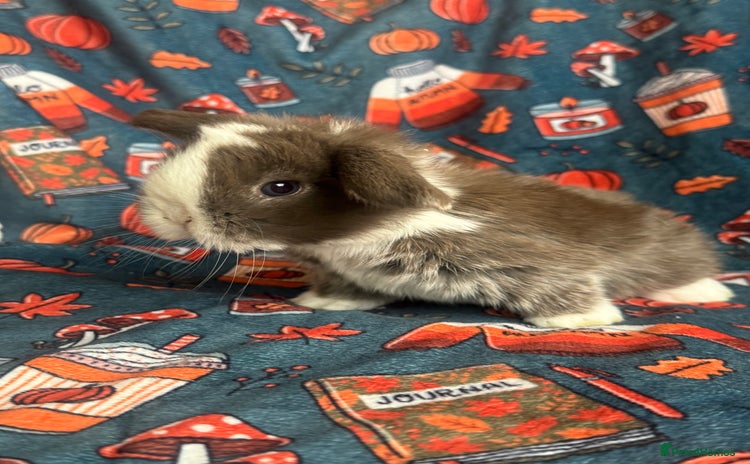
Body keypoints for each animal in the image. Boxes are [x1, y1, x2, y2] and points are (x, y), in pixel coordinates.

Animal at [131, 109, 733, 328]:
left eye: (280, 187)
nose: (172, 214)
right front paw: (324, 304)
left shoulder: (529, 260)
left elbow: (565, 285)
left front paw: (582, 323)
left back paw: (709, 292)